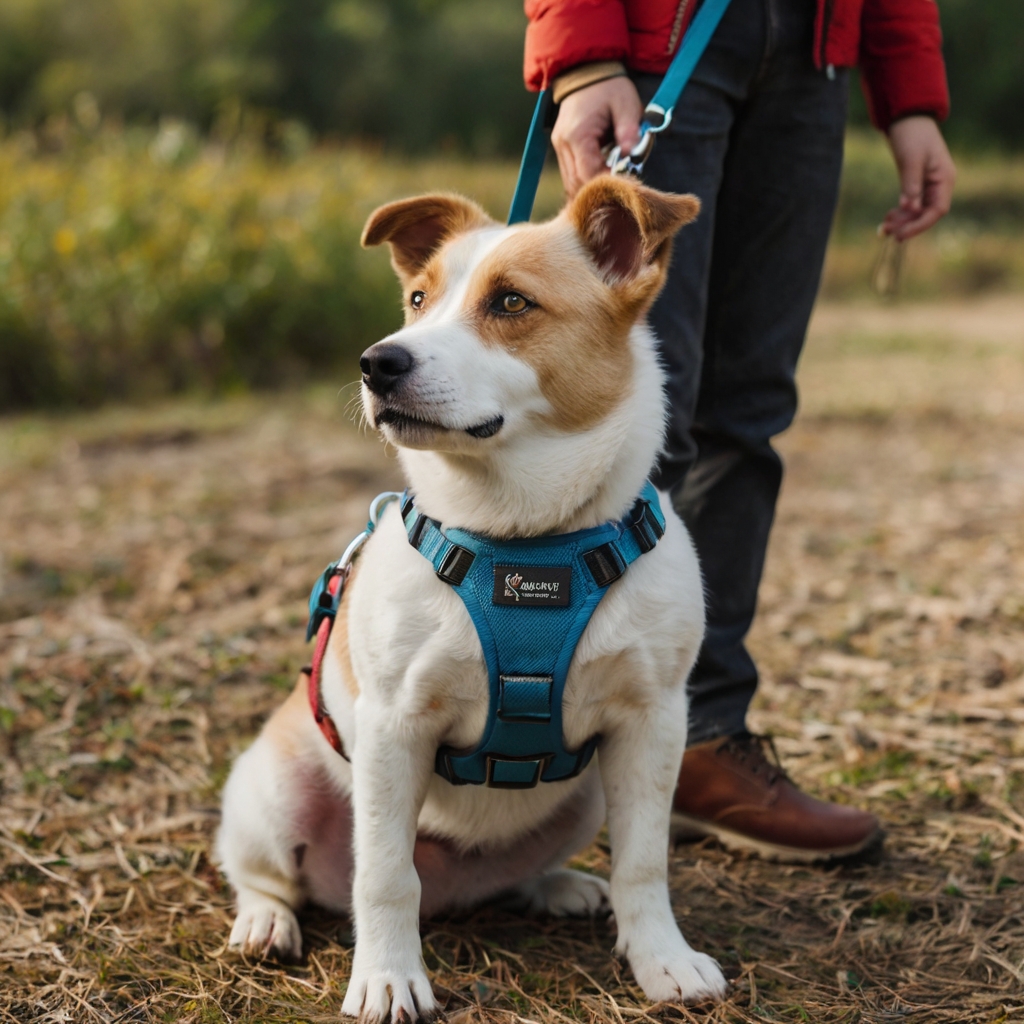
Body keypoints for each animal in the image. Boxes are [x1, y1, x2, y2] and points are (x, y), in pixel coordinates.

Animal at [216, 174, 729, 1015]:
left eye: (512, 302)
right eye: (418, 299)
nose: (377, 363)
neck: (525, 538)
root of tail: (455, 890)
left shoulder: (652, 723)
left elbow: (643, 863)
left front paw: (663, 960)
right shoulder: (393, 729)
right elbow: (385, 876)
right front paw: (388, 979)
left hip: (588, 795)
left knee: (521, 873)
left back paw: (557, 886)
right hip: (275, 791)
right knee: (268, 875)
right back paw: (265, 922)